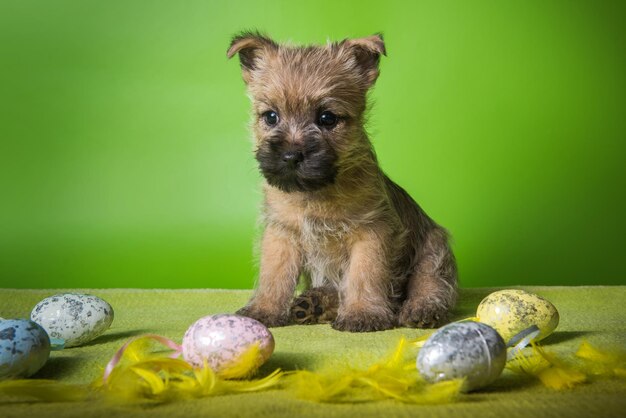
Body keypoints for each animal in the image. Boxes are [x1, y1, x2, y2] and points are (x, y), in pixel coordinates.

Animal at [227, 32, 456, 332]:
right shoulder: (281, 233)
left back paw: (423, 308)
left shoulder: (371, 233)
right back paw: (315, 303)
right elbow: (274, 275)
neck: (315, 193)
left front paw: (363, 313)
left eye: (327, 118)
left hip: (433, 249)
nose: (291, 156)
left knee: (431, 283)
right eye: (271, 117)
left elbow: (364, 274)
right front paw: (264, 309)